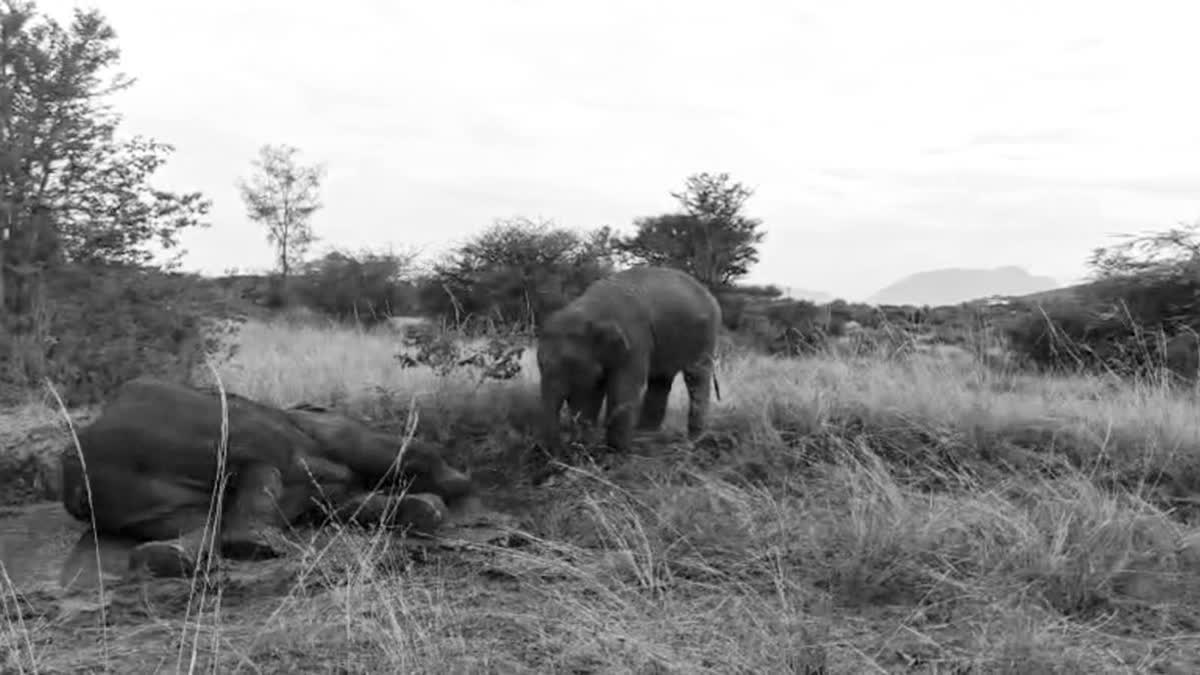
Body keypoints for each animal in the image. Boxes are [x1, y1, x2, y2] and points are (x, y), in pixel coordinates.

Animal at [536, 265, 723, 454]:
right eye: (540, 365)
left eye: (570, 366)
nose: (558, 451)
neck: (590, 308)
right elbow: (594, 389)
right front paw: (585, 446)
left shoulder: (635, 340)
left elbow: (623, 387)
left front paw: (616, 451)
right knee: (661, 380)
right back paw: (645, 436)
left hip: (706, 335)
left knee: (696, 377)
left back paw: (693, 441)